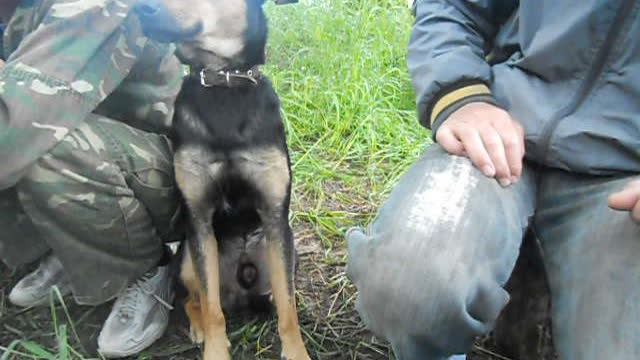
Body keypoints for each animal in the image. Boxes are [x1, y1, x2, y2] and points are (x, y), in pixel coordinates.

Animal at [136, 0, 312, 360]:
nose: (139, 10)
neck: (223, 80)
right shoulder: (199, 218)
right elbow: (211, 306)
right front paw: (215, 349)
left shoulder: (274, 215)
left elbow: (288, 307)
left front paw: (296, 351)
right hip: (188, 259)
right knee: (196, 300)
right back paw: (199, 327)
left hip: (286, 250)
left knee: (276, 292)